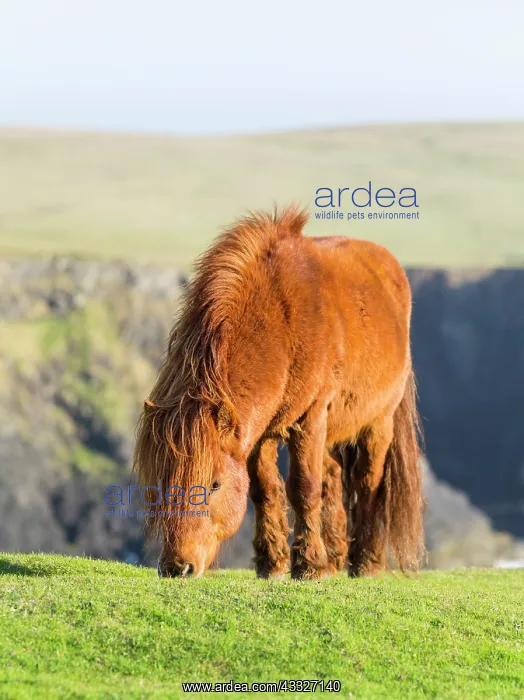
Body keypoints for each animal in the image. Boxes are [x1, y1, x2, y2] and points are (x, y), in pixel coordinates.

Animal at [133, 206, 424, 579]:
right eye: (160, 482)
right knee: (333, 475)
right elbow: (266, 491)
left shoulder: (309, 418)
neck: (279, 323)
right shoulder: (258, 434)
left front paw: (309, 566)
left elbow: (303, 488)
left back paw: (366, 563)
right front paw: (273, 564)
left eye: (214, 485)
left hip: (378, 422)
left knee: (367, 482)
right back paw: (335, 558)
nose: (177, 567)